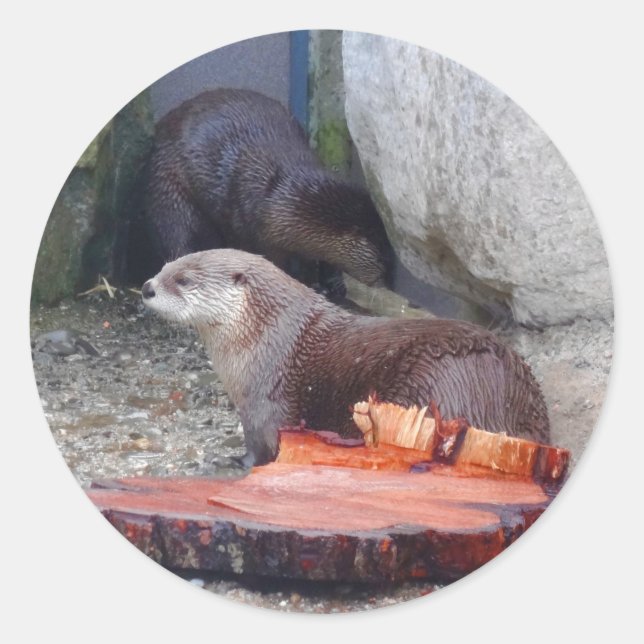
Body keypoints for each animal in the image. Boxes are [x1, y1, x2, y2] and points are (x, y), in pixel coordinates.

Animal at [141, 88, 393, 292]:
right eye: (382, 256)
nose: (388, 282)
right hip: (168, 194)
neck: (280, 200)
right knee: (178, 239)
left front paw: (330, 283)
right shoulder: (250, 229)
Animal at [142, 249, 550, 467]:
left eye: (184, 280)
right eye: (164, 266)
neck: (265, 340)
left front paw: (235, 461)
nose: (146, 287)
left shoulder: (264, 399)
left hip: (428, 382)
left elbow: (263, 444)